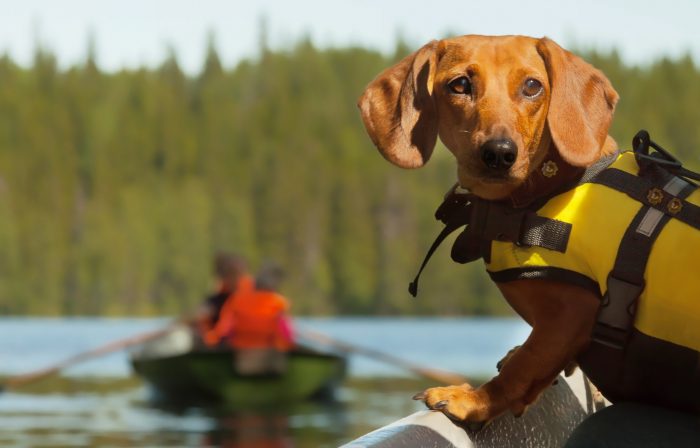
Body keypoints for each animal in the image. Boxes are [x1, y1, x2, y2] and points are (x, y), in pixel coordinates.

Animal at [360, 35, 616, 424]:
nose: (498, 153)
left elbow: (522, 367)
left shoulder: (571, 314)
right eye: (460, 84)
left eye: (532, 86)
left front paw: (472, 398)